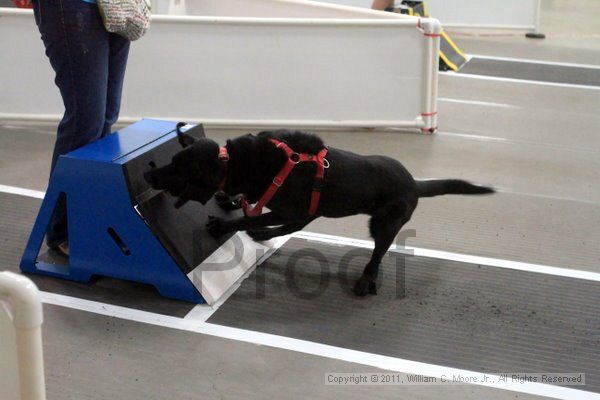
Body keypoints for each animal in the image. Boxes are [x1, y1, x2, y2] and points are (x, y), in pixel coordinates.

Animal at [144, 130, 492, 296]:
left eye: (178, 168)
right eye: (172, 160)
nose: (148, 175)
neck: (242, 164)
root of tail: (415, 184)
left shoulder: (287, 207)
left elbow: (248, 215)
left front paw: (222, 224)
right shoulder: (289, 209)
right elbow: (248, 207)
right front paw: (230, 202)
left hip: (384, 222)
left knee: (378, 253)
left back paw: (365, 281)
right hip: (319, 212)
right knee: (289, 229)